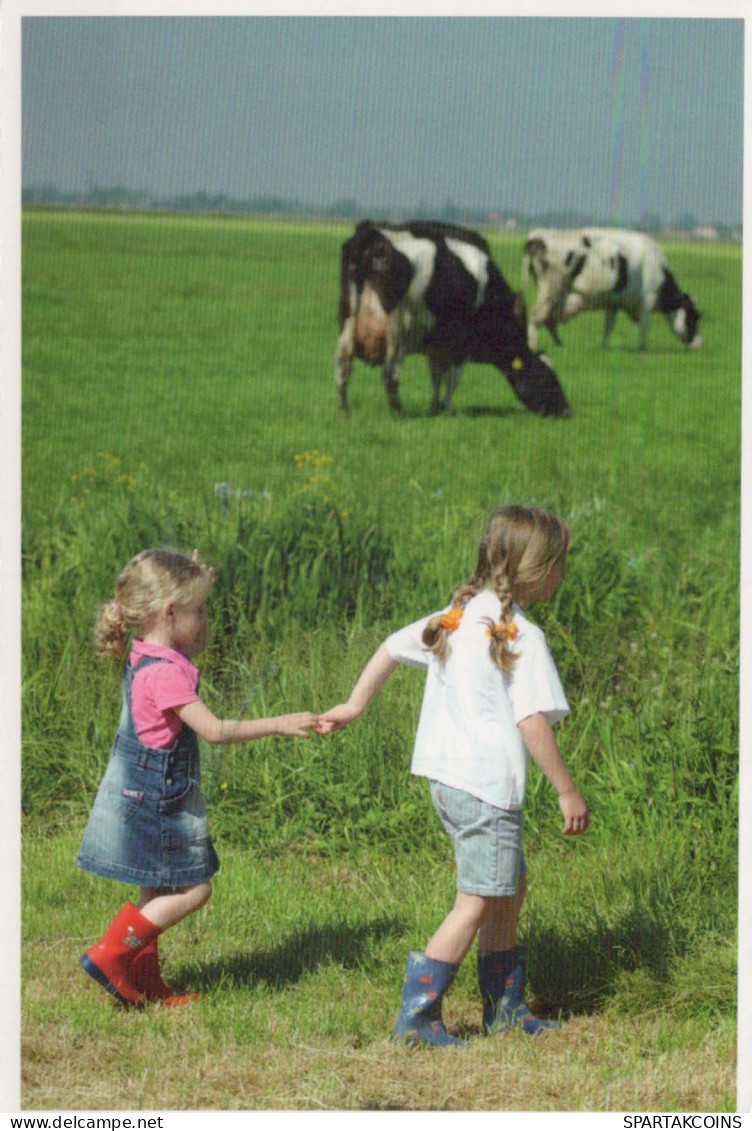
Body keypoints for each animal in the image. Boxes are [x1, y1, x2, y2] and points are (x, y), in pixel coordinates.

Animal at [334, 218, 569, 418]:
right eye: (548, 377)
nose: (566, 410)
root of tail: (371, 232)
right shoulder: (460, 343)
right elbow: (452, 379)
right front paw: (447, 409)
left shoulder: (436, 344)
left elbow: (436, 375)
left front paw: (435, 408)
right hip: (397, 329)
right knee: (389, 373)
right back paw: (397, 412)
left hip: (347, 322)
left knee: (343, 365)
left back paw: (345, 411)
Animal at [520, 227, 701, 350]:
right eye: (694, 316)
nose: (700, 343)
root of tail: (537, 236)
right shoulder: (648, 300)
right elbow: (644, 328)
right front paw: (642, 349)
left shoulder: (614, 302)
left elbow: (609, 326)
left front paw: (604, 346)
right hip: (550, 289)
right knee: (537, 318)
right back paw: (533, 345)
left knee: (548, 320)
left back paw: (560, 344)